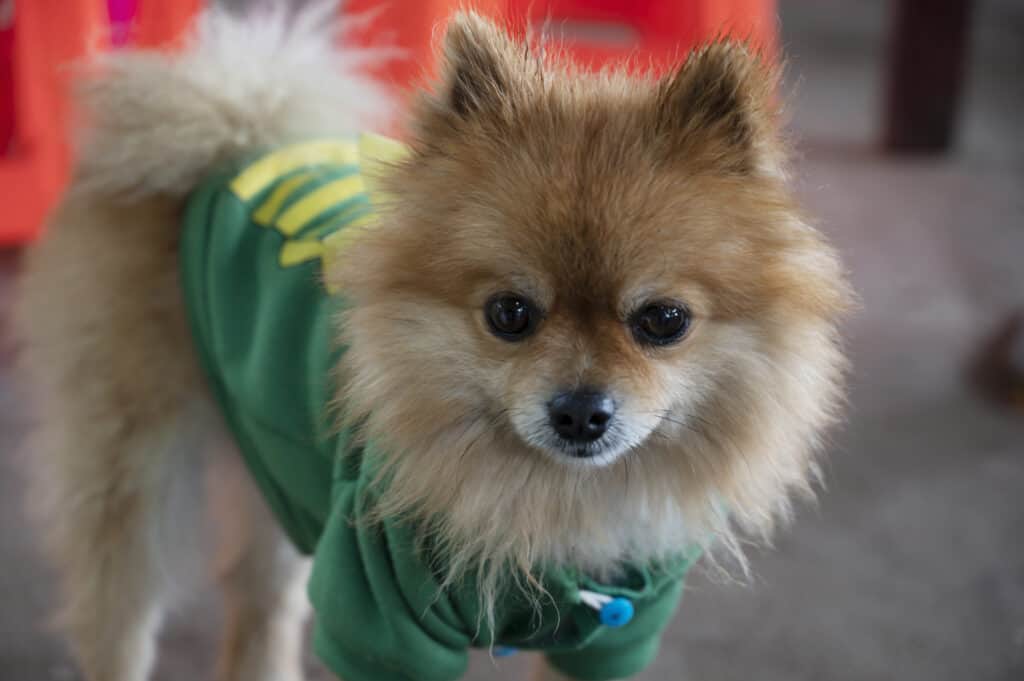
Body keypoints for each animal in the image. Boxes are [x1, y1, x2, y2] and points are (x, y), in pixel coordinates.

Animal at [14, 5, 847, 679]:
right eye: (510, 313)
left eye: (663, 320)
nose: (581, 411)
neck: (548, 505)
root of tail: (233, 130)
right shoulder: (379, 616)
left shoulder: (609, 636)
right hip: (134, 471)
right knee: (123, 613)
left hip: (278, 465)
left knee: (257, 604)